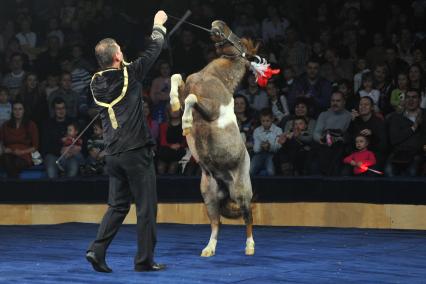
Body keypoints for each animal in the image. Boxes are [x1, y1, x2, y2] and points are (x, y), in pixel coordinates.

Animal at [169, 20, 256, 258]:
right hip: (209, 195)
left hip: (241, 191)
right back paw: (209, 249)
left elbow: (191, 98)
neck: (216, 78)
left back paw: (250, 247)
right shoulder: (186, 89)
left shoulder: (211, 109)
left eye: (238, 40)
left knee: (248, 216)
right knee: (217, 223)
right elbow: (177, 79)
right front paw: (174, 103)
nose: (218, 24)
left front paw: (186, 124)